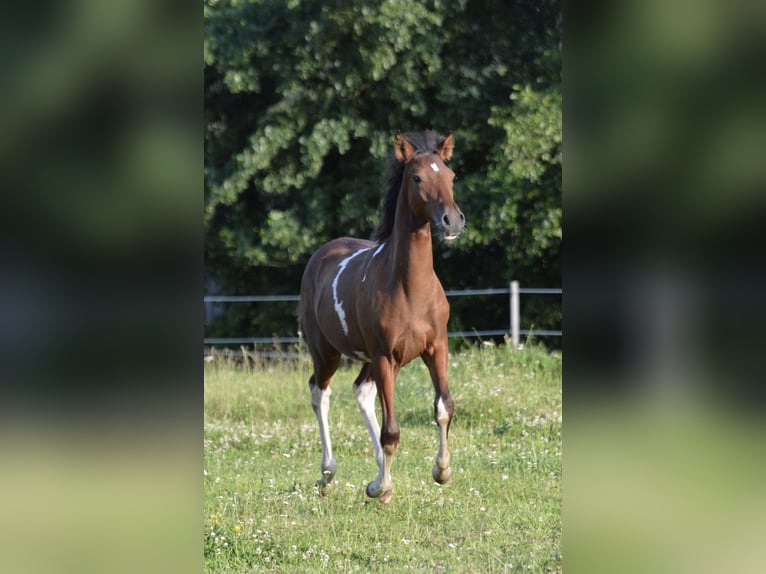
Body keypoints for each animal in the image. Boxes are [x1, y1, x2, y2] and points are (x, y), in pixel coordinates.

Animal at [298, 130, 464, 504]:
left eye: (450, 176)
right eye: (416, 177)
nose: (452, 221)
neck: (408, 287)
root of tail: (321, 254)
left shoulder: (436, 348)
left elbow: (443, 407)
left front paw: (441, 472)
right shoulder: (386, 355)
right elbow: (391, 430)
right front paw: (385, 487)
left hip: (373, 360)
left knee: (362, 391)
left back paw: (375, 476)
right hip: (328, 352)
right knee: (320, 392)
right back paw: (328, 473)